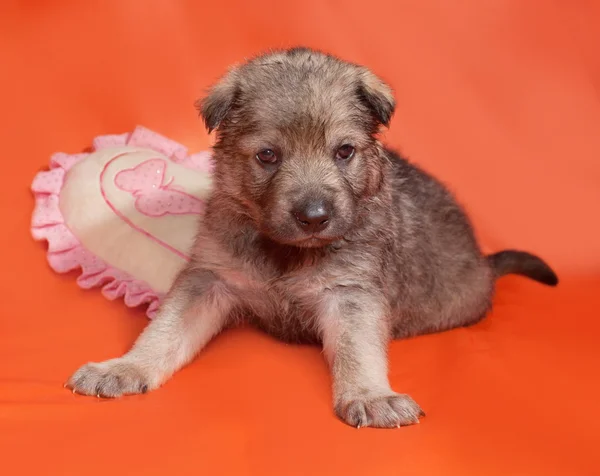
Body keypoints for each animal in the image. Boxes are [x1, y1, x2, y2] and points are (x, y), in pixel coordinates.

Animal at [67, 47, 556, 428]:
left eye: (344, 151)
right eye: (267, 155)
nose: (314, 216)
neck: (284, 252)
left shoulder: (351, 292)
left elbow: (357, 349)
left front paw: (369, 395)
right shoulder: (210, 277)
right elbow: (164, 331)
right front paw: (125, 367)